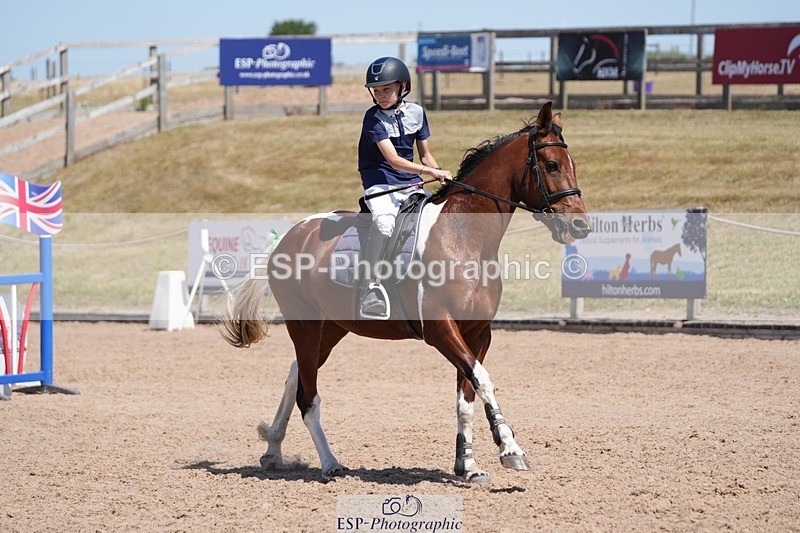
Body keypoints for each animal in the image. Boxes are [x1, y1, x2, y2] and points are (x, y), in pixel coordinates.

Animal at [221, 102, 591, 484]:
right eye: (552, 165)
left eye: (572, 164)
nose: (580, 225)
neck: (464, 237)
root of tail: (290, 235)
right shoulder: (441, 329)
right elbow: (484, 381)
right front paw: (510, 449)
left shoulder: (477, 334)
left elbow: (466, 398)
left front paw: (468, 465)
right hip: (305, 326)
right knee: (308, 397)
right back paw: (330, 463)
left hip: (331, 328)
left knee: (295, 375)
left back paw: (273, 449)